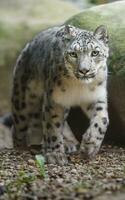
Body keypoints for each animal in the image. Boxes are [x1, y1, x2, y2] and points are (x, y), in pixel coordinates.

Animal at [10, 24, 109, 164]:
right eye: (73, 54)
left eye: (95, 52)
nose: (84, 70)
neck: (80, 86)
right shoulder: (55, 100)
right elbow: (53, 127)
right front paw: (55, 155)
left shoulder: (96, 98)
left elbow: (102, 119)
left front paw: (89, 145)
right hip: (23, 101)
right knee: (18, 128)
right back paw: (21, 147)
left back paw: (69, 143)